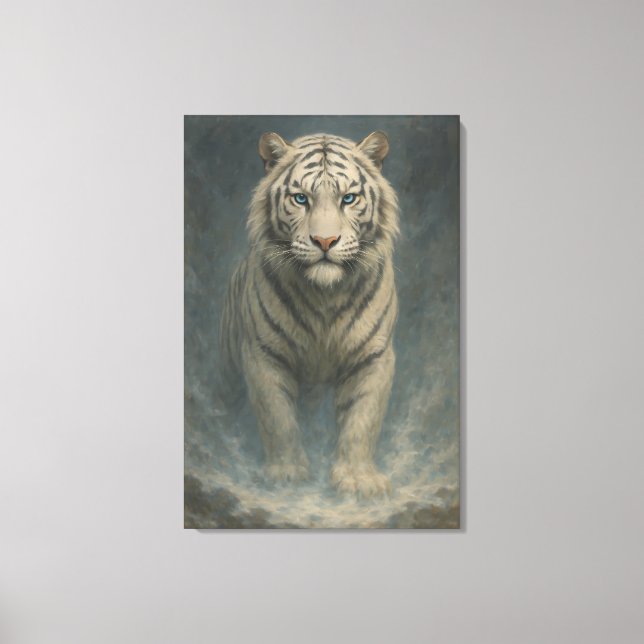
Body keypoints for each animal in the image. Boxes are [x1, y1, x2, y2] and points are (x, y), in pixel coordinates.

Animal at [219, 130, 400, 497]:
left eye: (348, 198)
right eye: (301, 198)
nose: (325, 241)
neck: (325, 297)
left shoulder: (373, 356)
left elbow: (362, 420)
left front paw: (359, 479)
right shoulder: (263, 354)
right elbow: (278, 418)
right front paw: (286, 473)